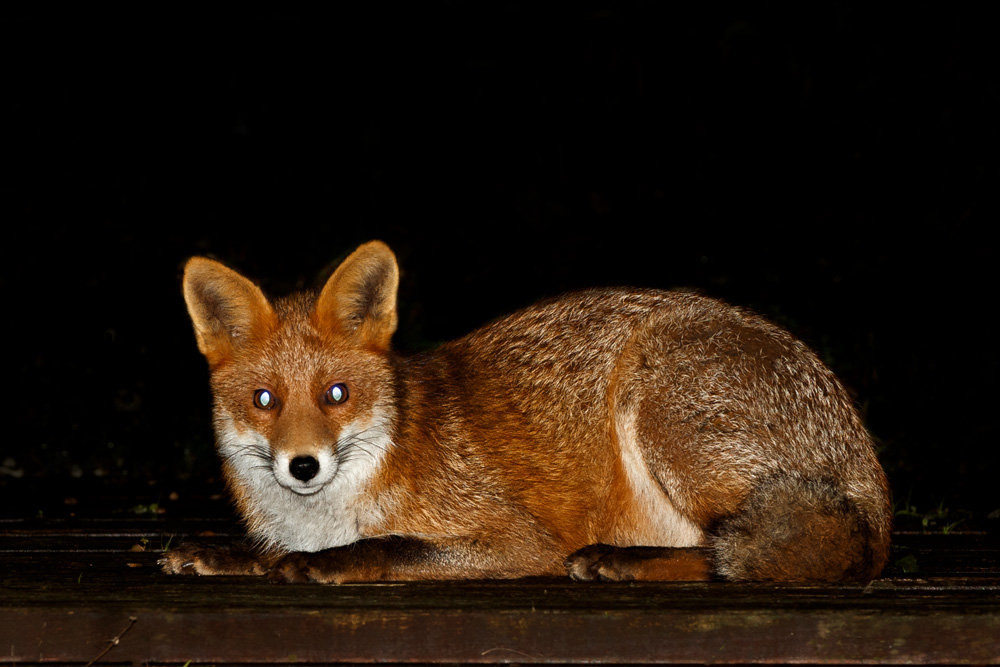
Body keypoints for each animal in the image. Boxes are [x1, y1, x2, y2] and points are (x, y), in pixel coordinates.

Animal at [162, 240, 892, 584]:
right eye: (265, 400)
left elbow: (389, 543)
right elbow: (268, 549)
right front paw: (227, 553)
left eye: (336, 394)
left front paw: (331, 560)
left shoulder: (516, 539)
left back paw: (619, 560)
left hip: (661, 407)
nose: (304, 465)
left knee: (763, 554)